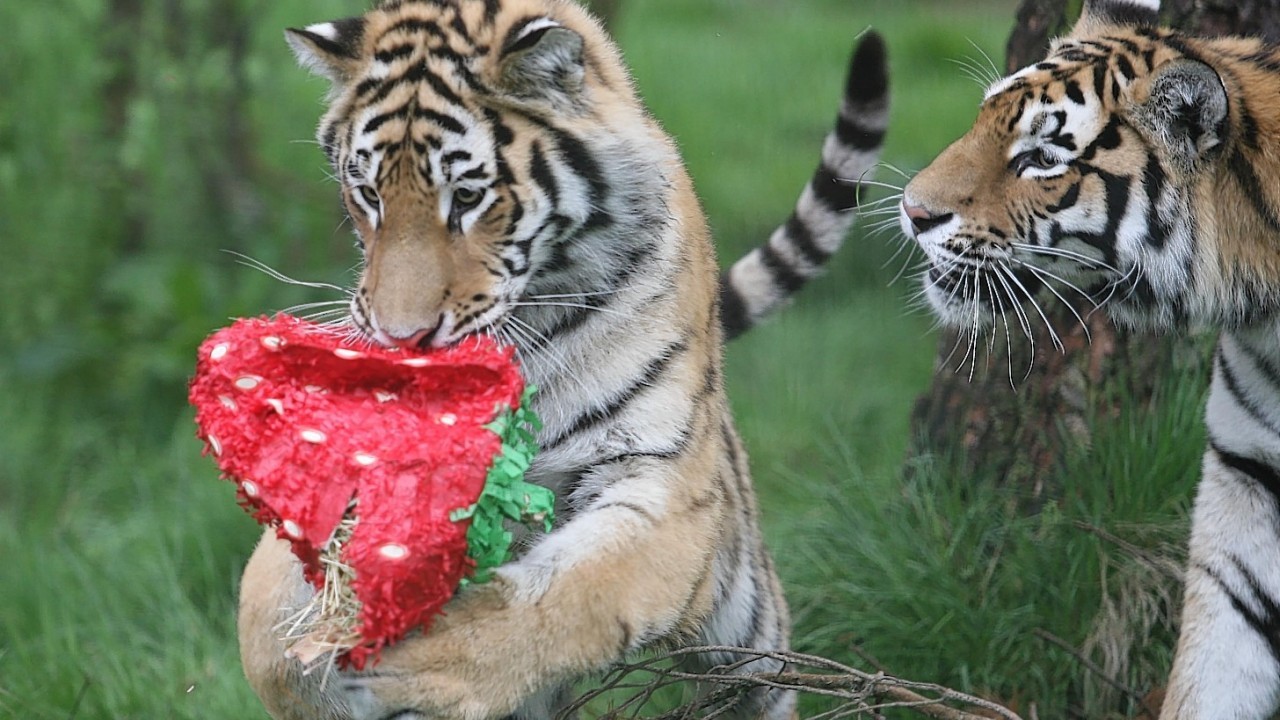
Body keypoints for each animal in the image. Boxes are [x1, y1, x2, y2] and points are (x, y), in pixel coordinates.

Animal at [235, 1, 885, 717]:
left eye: (468, 198)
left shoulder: (658, 483)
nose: (402, 337)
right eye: (370, 195)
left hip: (748, 625)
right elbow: (267, 614)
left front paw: (425, 660)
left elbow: (570, 591)